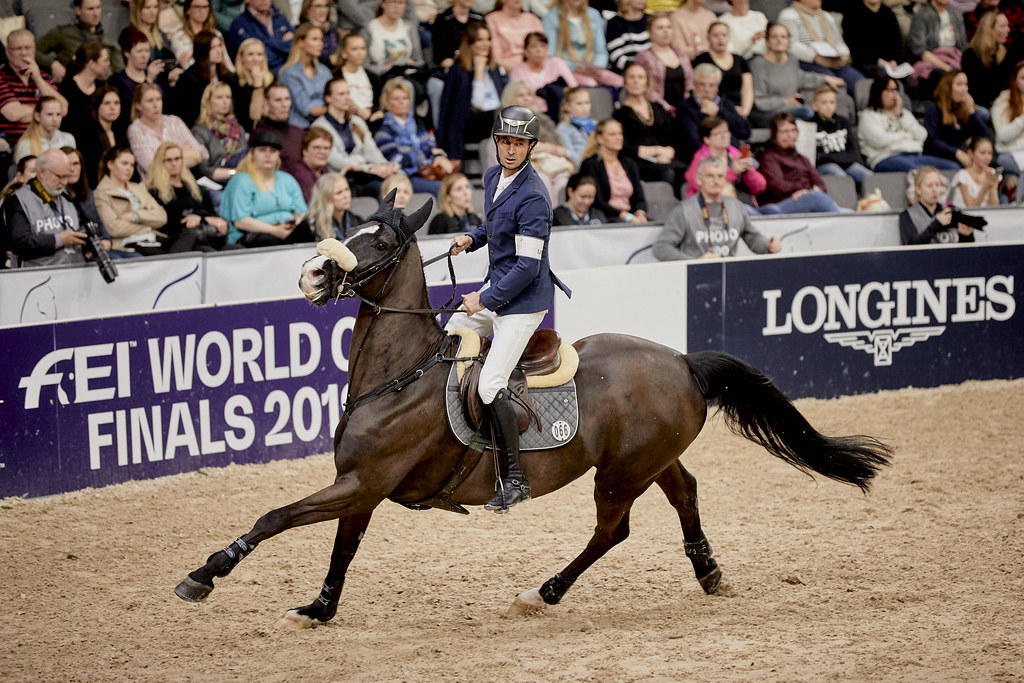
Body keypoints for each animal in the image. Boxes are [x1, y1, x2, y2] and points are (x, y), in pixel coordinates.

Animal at [172, 194, 892, 626]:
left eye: (376, 241)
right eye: (351, 227)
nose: (311, 276)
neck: (399, 377)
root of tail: (681, 359)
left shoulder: (363, 481)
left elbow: (275, 517)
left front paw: (207, 572)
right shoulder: (362, 486)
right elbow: (341, 549)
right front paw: (319, 608)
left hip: (620, 474)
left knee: (612, 532)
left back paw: (542, 592)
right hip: (647, 458)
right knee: (685, 491)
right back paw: (709, 572)